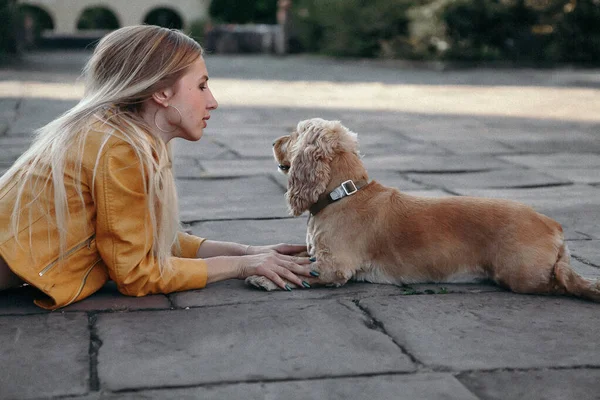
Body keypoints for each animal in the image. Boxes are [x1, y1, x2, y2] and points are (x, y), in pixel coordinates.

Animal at [246, 117, 596, 302]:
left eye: (295, 133)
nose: (272, 142)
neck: (343, 194)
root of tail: (554, 226)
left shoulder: (334, 267)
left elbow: (301, 272)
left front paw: (264, 278)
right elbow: (292, 260)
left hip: (522, 275)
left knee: (563, 282)